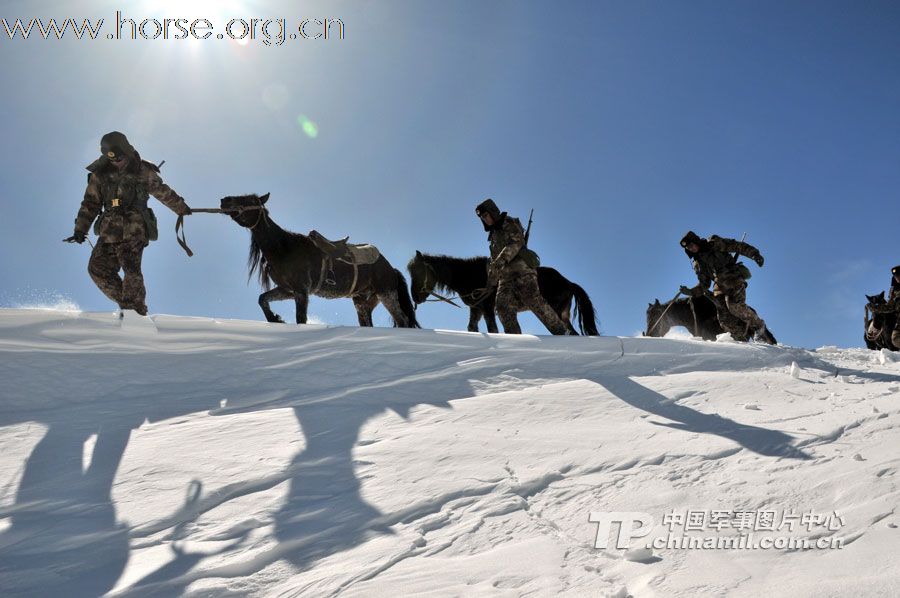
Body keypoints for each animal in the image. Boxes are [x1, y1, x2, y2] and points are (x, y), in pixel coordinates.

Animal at [225, 195, 422, 330]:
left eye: (249, 198)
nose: (224, 200)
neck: (284, 247)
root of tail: (391, 269)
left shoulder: (301, 291)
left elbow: (300, 318)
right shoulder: (288, 290)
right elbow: (262, 299)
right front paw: (275, 318)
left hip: (386, 294)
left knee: (403, 320)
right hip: (363, 301)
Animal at [408, 252, 596, 338]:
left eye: (418, 272)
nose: (415, 298)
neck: (469, 274)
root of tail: (569, 282)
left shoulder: (488, 308)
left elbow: (493, 329)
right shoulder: (476, 309)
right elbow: (472, 327)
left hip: (554, 310)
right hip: (563, 314)